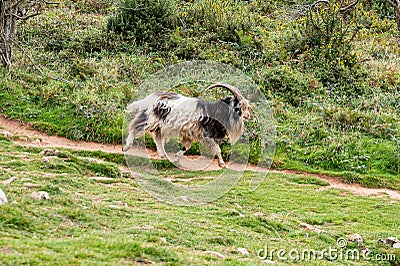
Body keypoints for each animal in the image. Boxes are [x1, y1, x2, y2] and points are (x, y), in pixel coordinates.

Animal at [122, 82, 250, 168]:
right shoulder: (207, 135)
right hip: (150, 119)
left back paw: (164, 156)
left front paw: (176, 159)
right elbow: (217, 149)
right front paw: (222, 164)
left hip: (159, 125)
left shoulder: (191, 133)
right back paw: (126, 147)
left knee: (157, 138)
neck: (216, 112)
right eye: (239, 106)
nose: (248, 116)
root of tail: (151, 97)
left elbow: (186, 147)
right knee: (134, 127)